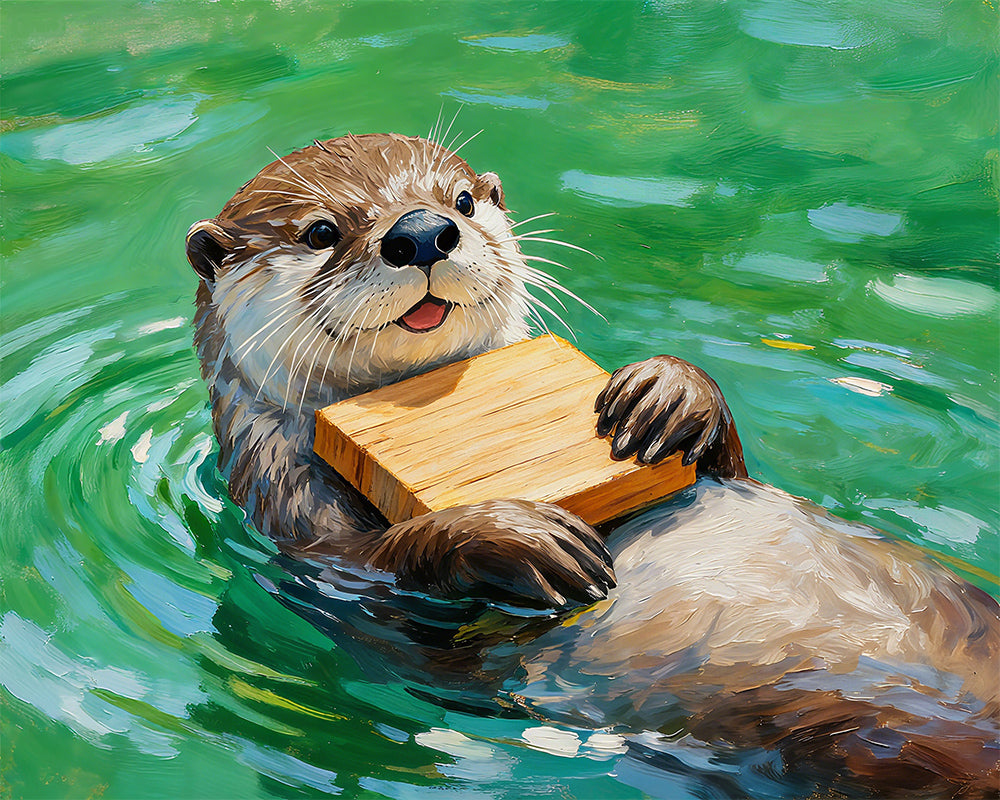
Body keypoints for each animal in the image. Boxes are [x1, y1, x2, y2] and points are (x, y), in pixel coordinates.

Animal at [187, 133, 998, 796]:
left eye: (460, 200)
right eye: (322, 231)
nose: (420, 232)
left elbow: (728, 467)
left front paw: (671, 393)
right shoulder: (293, 515)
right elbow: (381, 578)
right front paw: (511, 534)